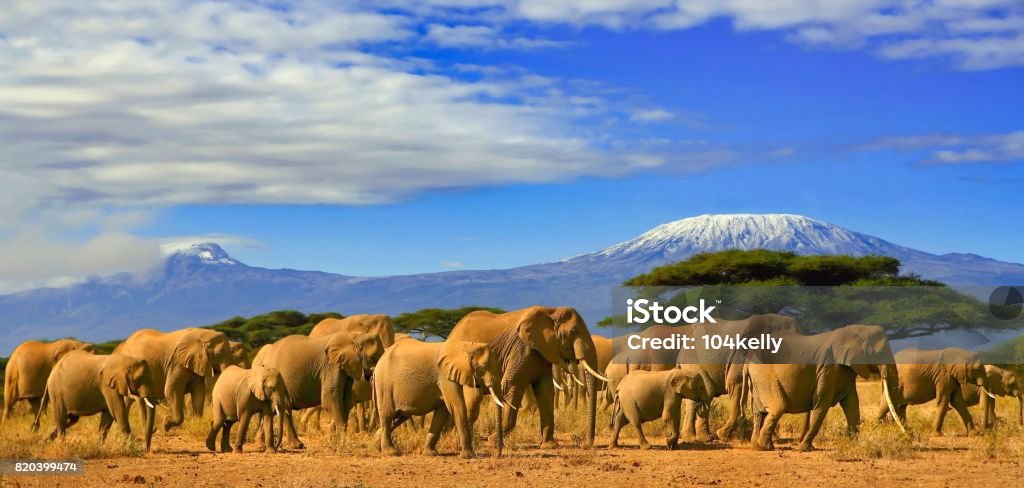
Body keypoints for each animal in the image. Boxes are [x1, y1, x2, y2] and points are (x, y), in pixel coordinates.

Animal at [251, 329, 385, 446]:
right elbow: (330, 396)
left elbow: (345, 399)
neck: (355, 336)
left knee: (281, 408)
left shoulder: (345, 367)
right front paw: (343, 443)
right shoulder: (330, 366)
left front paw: (336, 441)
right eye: (374, 358)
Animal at [374, 337, 505, 456]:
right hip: (385, 384)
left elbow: (442, 412)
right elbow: (456, 406)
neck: (465, 345)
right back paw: (390, 452)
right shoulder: (444, 376)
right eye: (483, 367)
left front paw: (430, 454)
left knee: (399, 417)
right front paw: (468, 455)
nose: (498, 454)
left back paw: (376, 446)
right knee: (388, 415)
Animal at [448, 306, 606, 446]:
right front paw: (493, 441)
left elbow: (546, 391)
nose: (587, 444)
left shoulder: (543, 352)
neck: (551, 311)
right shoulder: (522, 349)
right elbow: (513, 386)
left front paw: (549, 445)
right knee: (473, 399)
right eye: (573, 331)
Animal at [745, 325, 905, 450]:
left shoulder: (845, 370)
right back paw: (763, 447)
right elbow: (822, 402)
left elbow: (852, 403)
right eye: (881, 353)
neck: (857, 331)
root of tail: (748, 358)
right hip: (764, 375)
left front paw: (854, 445)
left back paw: (757, 445)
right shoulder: (828, 368)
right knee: (778, 408)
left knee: (759, 412)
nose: (907, 436)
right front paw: (805, 448)